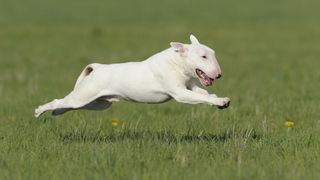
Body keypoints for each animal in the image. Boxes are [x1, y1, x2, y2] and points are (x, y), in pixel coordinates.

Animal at [34, 34, 230, 117]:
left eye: (213, 53)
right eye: (203, 56)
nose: (219, 74)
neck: (176, 63)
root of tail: (96, 68)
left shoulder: (191, 85)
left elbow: (203, 93)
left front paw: (218, 99)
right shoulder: (179, 93)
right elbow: (199, 97)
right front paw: (221, 101)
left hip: (99, 103)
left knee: (68, 105)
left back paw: (57, 112)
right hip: (83, 96)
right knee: (60, 101)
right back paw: (39, 111)